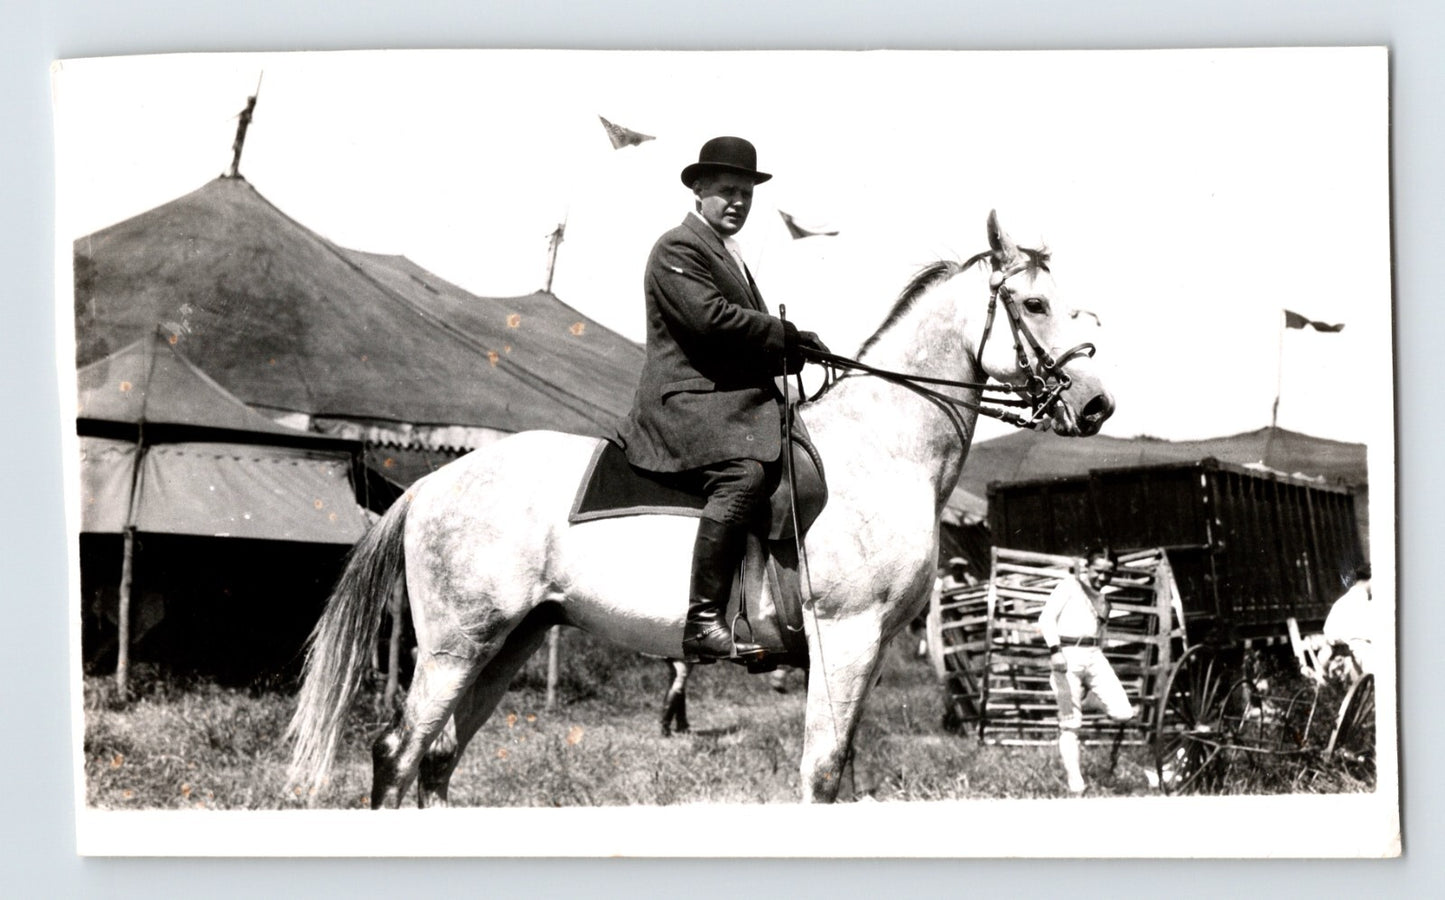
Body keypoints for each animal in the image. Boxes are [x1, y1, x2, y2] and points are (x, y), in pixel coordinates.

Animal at [287, 211, 1115, 807]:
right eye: (1033, 303)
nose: (1097, 407)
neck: (885, 447)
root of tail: (432, 485)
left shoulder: (872, 645)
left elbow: (842, 770)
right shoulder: (844, 635)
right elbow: (821, 772)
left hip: (509, 641)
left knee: (438, 759)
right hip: (457, 644)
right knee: (397, 754)